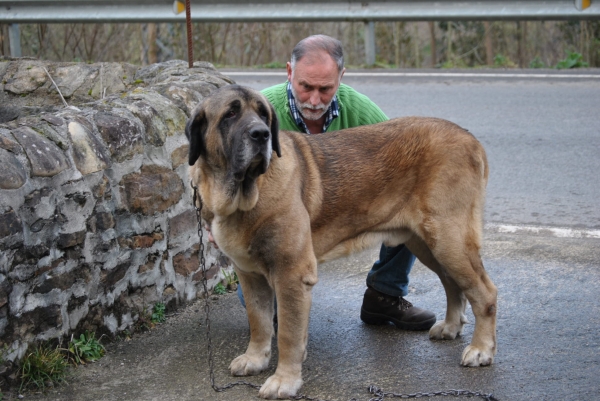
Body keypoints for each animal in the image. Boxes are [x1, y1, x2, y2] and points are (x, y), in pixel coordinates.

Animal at [188, 84, 496, 396]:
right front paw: (255, 359)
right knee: (453, 284)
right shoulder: (250, 275)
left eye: (263, 115)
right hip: (426, 243)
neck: (242, 194)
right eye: (230, 114)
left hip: (449, 238)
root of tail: (470, 138)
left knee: (484, 292)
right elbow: (259, 321)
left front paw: (284, 380)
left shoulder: (291, 274)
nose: (262, 134)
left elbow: (287, 333)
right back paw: (451, 326)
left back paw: (481, 349)